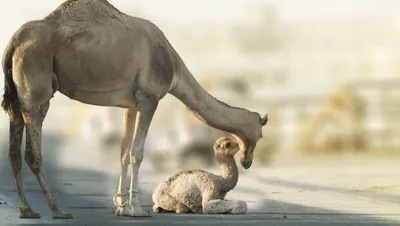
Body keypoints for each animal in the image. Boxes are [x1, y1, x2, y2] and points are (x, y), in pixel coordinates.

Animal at [1, 0, 268, 219]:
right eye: (261, 133)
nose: (247, 161)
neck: (174, 67)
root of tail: (14, 41)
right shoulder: (149, 98)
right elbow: (137, 152)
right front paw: (137, 209)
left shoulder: (129, 105)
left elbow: (123, 152)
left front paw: (121, 207)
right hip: (36, 91)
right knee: (33, 152)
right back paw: (57, 210)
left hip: (15, 99)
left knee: (13, 152)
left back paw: (27, 210)